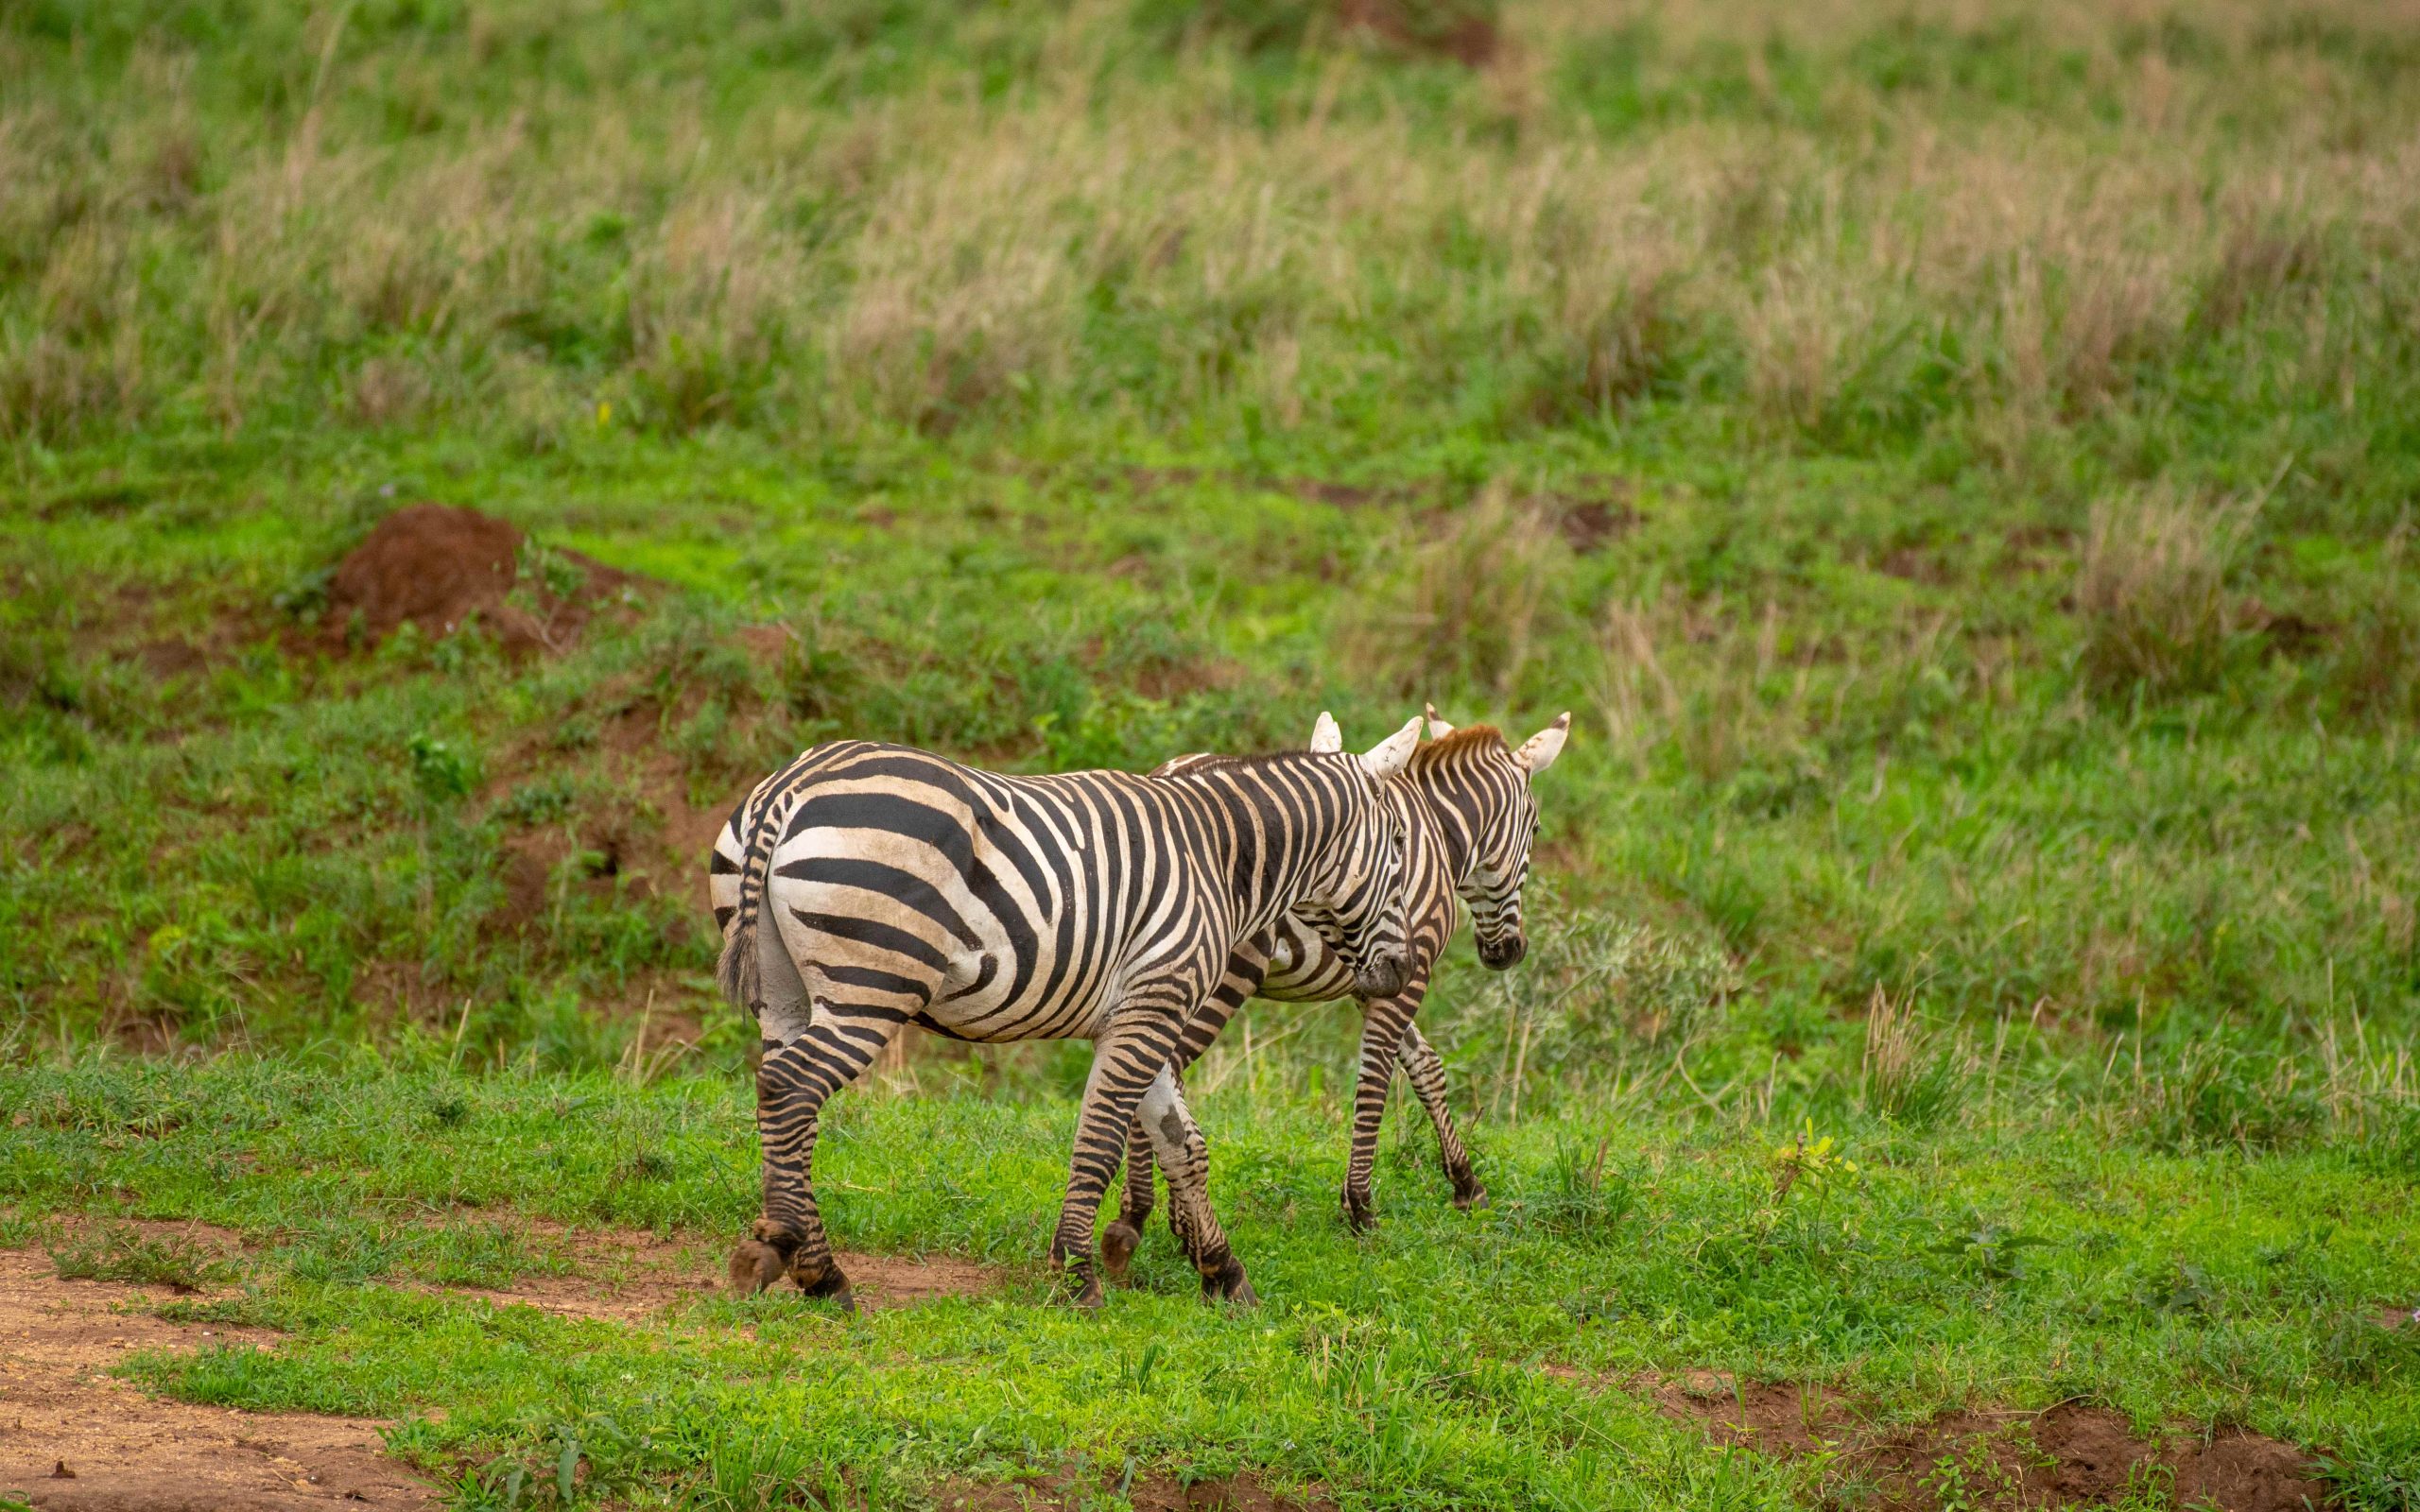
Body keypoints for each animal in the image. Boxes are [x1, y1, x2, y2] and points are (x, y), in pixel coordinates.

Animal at [709, 720, 1424, 1310]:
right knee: (793, 1088)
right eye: (1397, 846)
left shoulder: (1148, 1011)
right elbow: (1101, 1143)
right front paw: (1078, 1278)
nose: (1402, 970)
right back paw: (819, 1272)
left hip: (785, 995)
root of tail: (792, 784)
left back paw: (787, 1251)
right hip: (873, 982)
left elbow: (1184, 1145)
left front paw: (1223, 1274)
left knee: (782, 1099)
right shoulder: (1151, 1006)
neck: (1218, 858)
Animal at [1101, 705, 1567, 1274]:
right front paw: (1360, 1207)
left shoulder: (1379, 978)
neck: (1439, 833)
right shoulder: (1406, 977)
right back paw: (1150, 1219)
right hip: (1221, 975)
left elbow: (1426, 1068)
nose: (1508, 953)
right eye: (1536, 827)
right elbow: (1374, 1084)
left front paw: (1465, 1184)